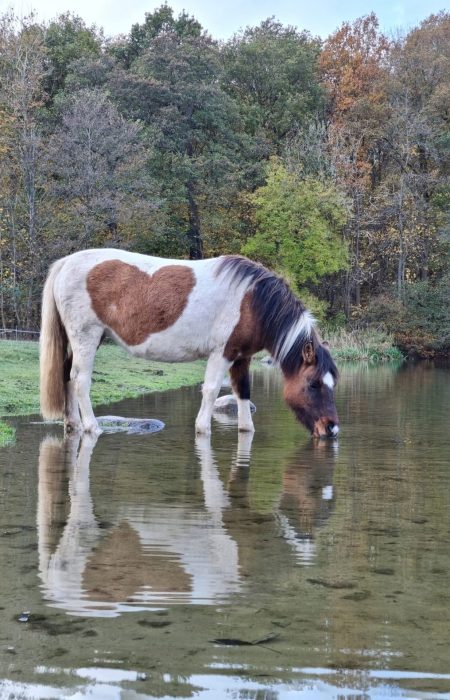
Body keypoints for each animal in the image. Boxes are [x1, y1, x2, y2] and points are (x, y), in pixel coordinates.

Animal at [40, 249, 339, 438]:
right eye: (313, 384)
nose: (331, 429)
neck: (252, 301)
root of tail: (66, 263)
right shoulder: (223, 352)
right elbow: (211, 390)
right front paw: (202, 429)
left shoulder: (241, 356)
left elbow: (242, 392)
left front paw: (246, 429)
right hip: (87, 338)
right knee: (80, 380)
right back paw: (92, 427)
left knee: (66, 375)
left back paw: (73, 424)